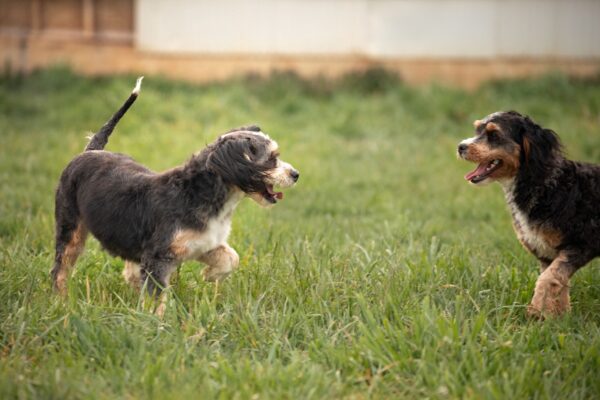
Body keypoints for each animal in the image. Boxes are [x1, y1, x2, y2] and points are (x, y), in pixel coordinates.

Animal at [50, 76, 298, 310]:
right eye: (271, 159)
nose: (296, 174)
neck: (198, 193)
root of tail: (90, 150)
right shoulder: (158, 256)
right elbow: (156, 297)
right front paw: (154, 322)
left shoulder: (203, 243)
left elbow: (232, 258)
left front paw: (209, 276)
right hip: (70, 226)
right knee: (60, 268)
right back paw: (61, 304)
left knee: (129, 270)